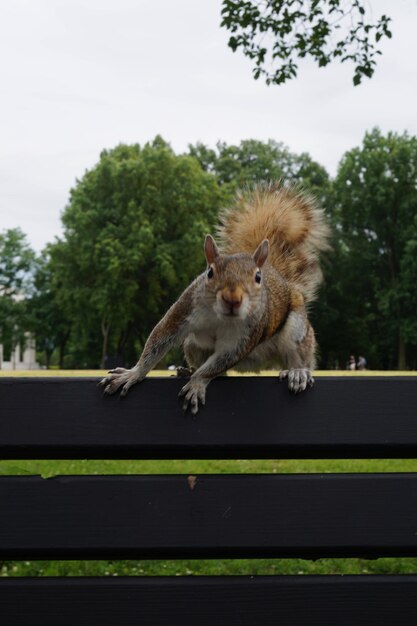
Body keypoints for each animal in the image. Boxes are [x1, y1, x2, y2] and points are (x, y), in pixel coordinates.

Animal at [100, 183, 328, 412]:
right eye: (210, 272)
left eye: (257, 277)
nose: (232, 299)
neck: (220, 317)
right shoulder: (184, 308)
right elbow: (158, 340)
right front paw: (133, 373)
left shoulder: (244, 338)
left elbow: (216, 364)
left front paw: (196, 384)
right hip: (192, 345)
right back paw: (188, 370)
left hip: (297, 332)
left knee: (300, 357)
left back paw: (297, 373)